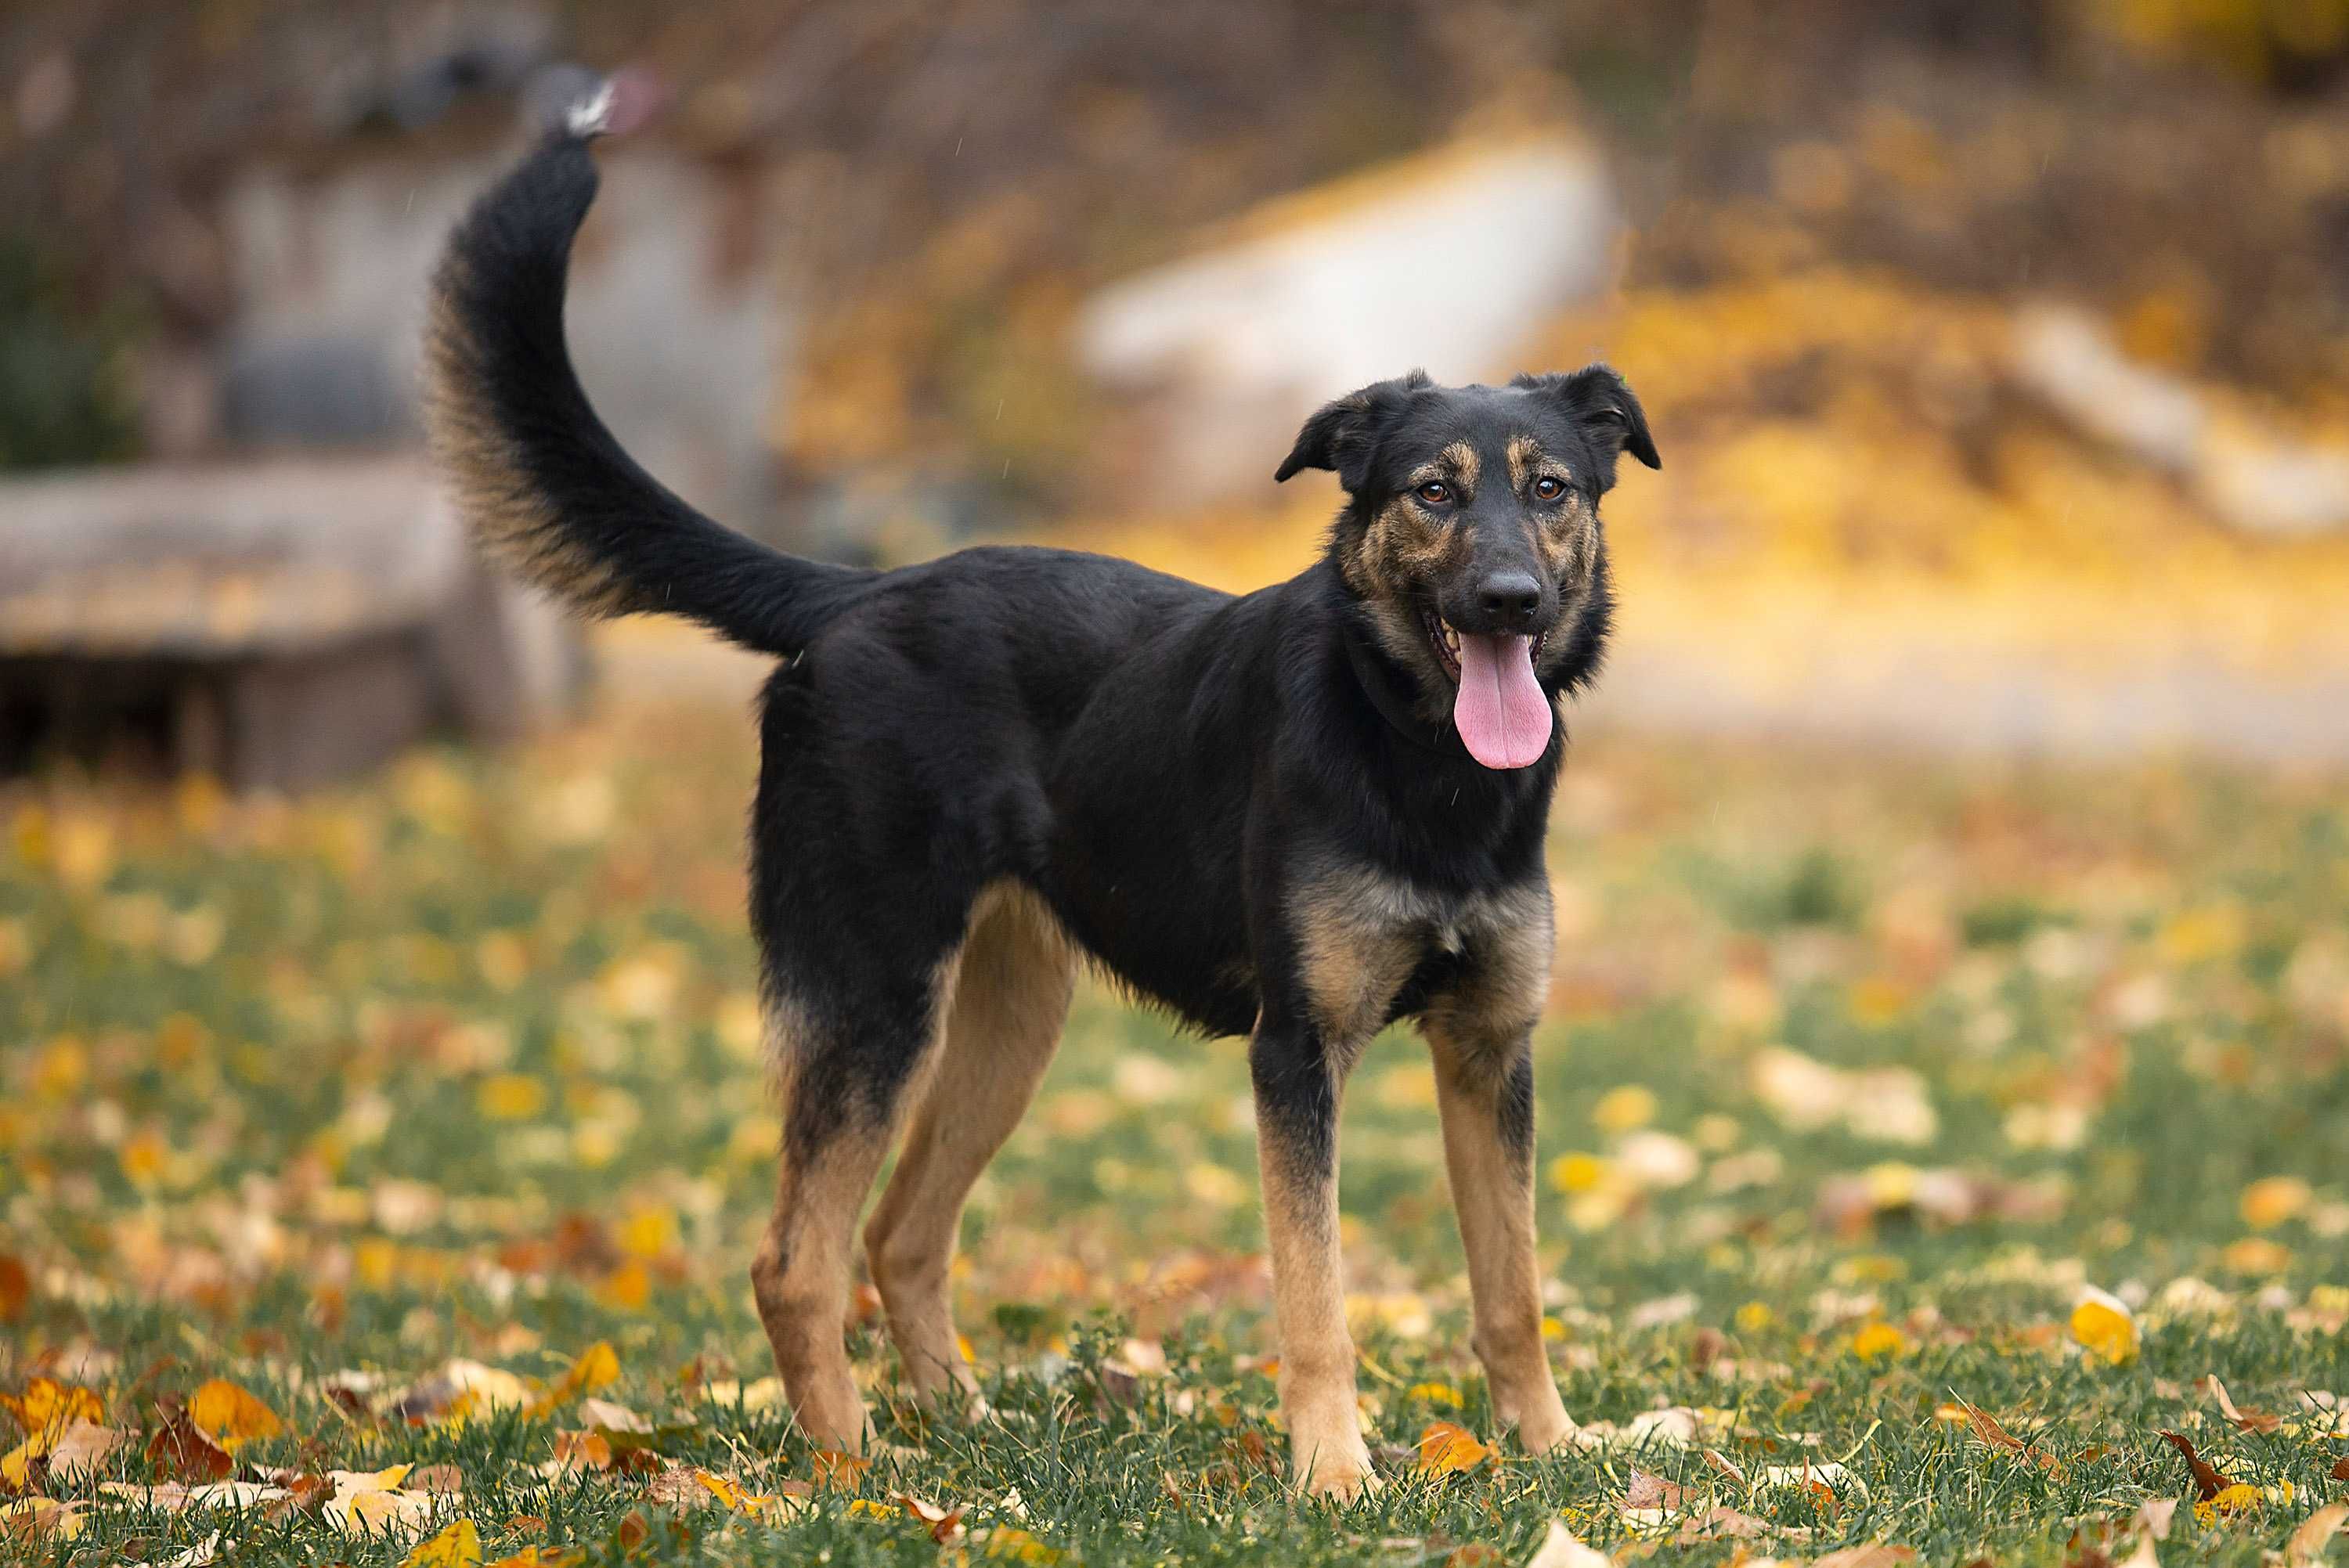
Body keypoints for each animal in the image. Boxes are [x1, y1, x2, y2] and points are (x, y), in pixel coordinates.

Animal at [432, 103, 1663, 1502]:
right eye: (1434, 492)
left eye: (1551, 487)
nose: (1512, 599)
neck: (1416, 757)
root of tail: (855, 593)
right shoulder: (1297, 1055)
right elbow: (1317, 1296)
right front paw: (1335, 1474)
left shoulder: (1491, 1048)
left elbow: (1514, 1284)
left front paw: (1553, 1448)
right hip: (876, 999)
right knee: (796, 1258)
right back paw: (857, 1471)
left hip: (1011, 1023)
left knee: (901, 1233)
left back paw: (962, 1427)